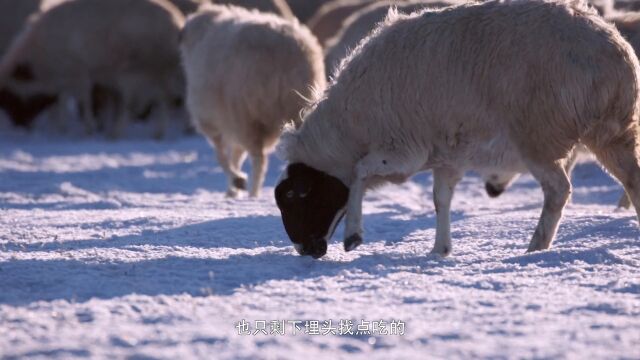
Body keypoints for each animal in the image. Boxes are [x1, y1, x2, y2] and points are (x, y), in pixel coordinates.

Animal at [182, 4, 328, 198]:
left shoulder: (213, 120)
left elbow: (222, 156)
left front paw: (237, 182)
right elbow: (236, 155)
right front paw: (233, 190)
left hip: (246, 114)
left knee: (259, 160)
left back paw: (253, 193)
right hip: (295, 108)